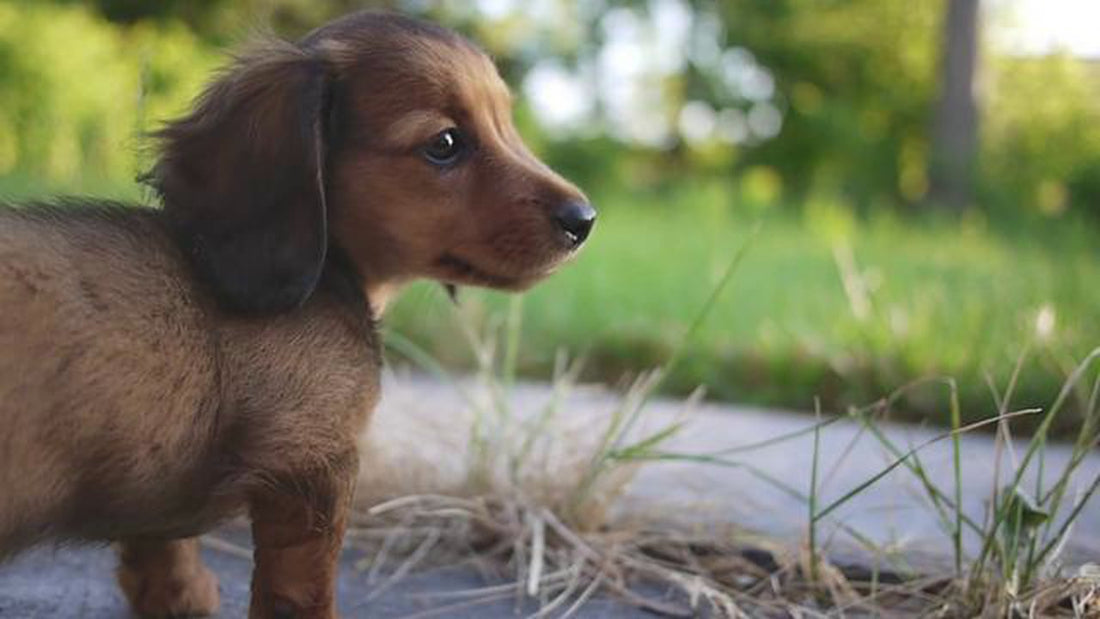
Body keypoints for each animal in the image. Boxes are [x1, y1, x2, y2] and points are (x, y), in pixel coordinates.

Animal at [0, 10, 594, 619]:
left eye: (507, 123)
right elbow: (301, 591)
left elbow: (162, 547)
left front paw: (182, 597)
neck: (333, 274)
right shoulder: (313, 466)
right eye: (445, 144)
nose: (584, 220)